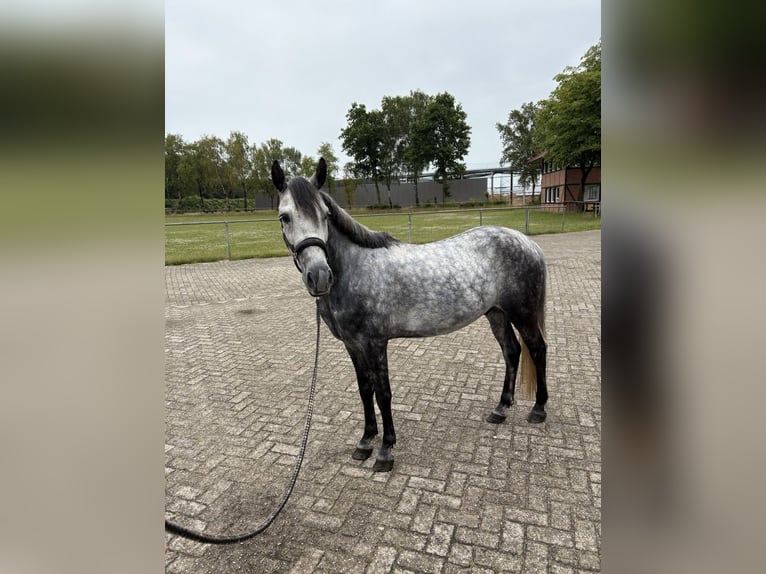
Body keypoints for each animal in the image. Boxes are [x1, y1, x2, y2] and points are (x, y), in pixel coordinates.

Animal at [272, 158, 548, 472]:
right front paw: (365, 442)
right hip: (497, 314)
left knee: (537, 349)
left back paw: (538, 409)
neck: (355, 268)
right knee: (512, 351)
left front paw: (385, 450)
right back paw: (500, 409)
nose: (318, 276)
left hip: (523, 314)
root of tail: (528, 243)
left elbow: (383, 393)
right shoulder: (352, 345)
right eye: (284, 217)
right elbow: (365, 389)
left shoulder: (375, 343)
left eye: (325, 215)